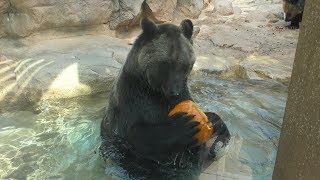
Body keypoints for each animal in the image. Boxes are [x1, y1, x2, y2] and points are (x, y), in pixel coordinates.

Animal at [100, 17, 230, 180]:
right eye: (165, 64)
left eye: (184, 65)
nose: (174, 91)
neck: (156, 92)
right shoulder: (131, 98)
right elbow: (137, 134)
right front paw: (184, 126)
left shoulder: (182, 95)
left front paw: (213, 120)